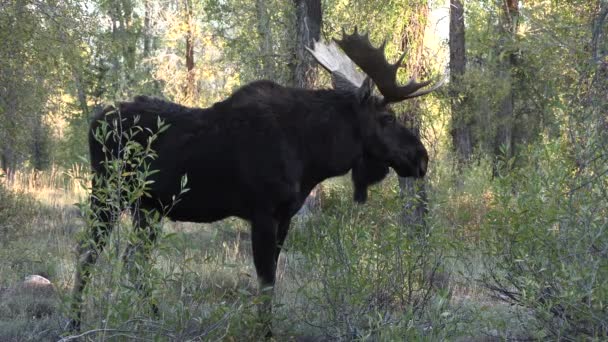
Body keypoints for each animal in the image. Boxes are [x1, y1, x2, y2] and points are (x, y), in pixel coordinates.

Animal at [69, 28, 442, 334]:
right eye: (387, 117)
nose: (421, 158)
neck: (313, 153)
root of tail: (94, 121)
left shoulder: (285, 216)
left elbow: (272, 279)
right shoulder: (262, 212)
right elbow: (265, 282)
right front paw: (265, 332)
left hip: (147, 207)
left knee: (134, 260)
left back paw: (154, 319)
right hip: (107, 194)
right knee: (87, 252)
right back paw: (74, 323)